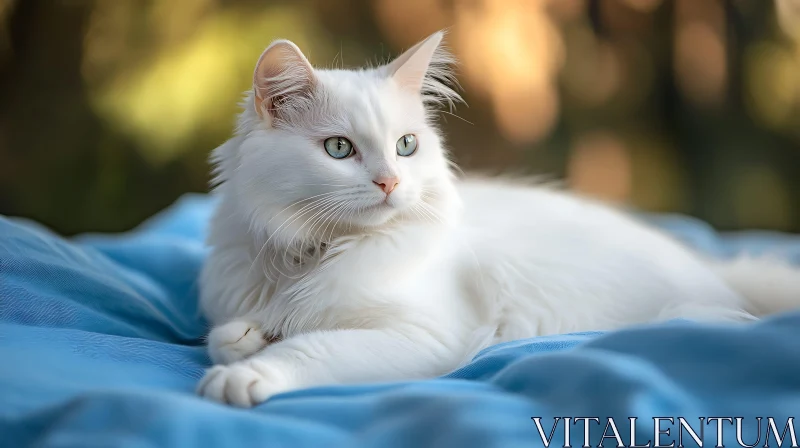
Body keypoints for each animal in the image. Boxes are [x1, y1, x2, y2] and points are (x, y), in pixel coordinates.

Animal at [195, 31, 800, 408]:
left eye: (406, 145)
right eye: (339, 149)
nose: (390, 182)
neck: (316, 253)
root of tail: (714, 269)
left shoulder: (422, 335)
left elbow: (309, 347)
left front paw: (247, 376)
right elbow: (228, 335)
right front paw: (249, 340)